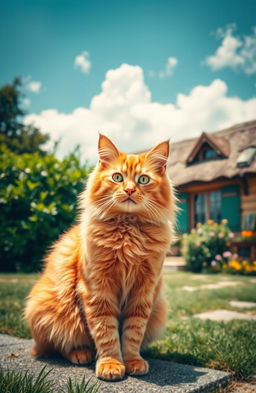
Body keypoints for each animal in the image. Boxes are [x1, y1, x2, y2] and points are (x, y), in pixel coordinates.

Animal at [24, 135, 176, 380]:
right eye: (117, 177)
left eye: (143, 180)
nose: (130, 190)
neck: (128, 231)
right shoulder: (97, 290)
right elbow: (106, 333)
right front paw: (111, 364)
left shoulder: (143, 291)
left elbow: (133, 333)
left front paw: (132, 361)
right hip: (50, 311)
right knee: (59, 345)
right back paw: (81, 353)